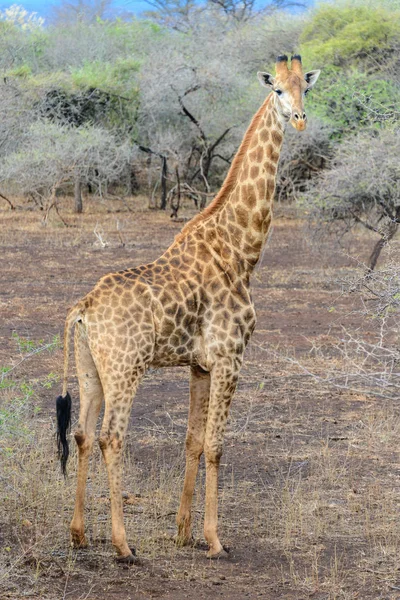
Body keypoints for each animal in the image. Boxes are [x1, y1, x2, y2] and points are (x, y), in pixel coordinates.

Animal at [55, 54, 318, 564]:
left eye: (307, 88)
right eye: (276, 89)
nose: (298, 119)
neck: (241, 249)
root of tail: (83, 307)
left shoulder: (199, 364)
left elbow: (193, 440)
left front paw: (183, 533)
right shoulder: (231, 357)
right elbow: (216, 445)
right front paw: (215, 540)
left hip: (90, 367)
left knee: (81, 433)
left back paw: (79, 534)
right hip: (127, 367)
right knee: (111, 436)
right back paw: (122, 545)